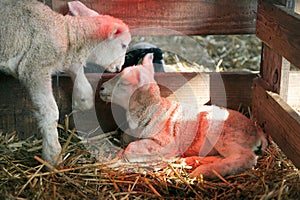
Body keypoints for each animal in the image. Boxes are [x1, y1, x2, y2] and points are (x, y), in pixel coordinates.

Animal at [0, 0, 131, 165]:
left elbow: (82, 82)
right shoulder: (35, 66)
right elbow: (50, 112)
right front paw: (53, 155)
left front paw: (82, 102)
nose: (120, 67)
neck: (65, 33)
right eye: (123, 45)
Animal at [100, 54, 268, 179]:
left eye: (124, 84)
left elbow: (130, 148)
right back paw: (192, 161)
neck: (150, 110)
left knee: (246, 158)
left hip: (225, 134)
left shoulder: (166, 141)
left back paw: (203, 171)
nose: (101, 88)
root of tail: (256, 130)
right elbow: (127, 140)